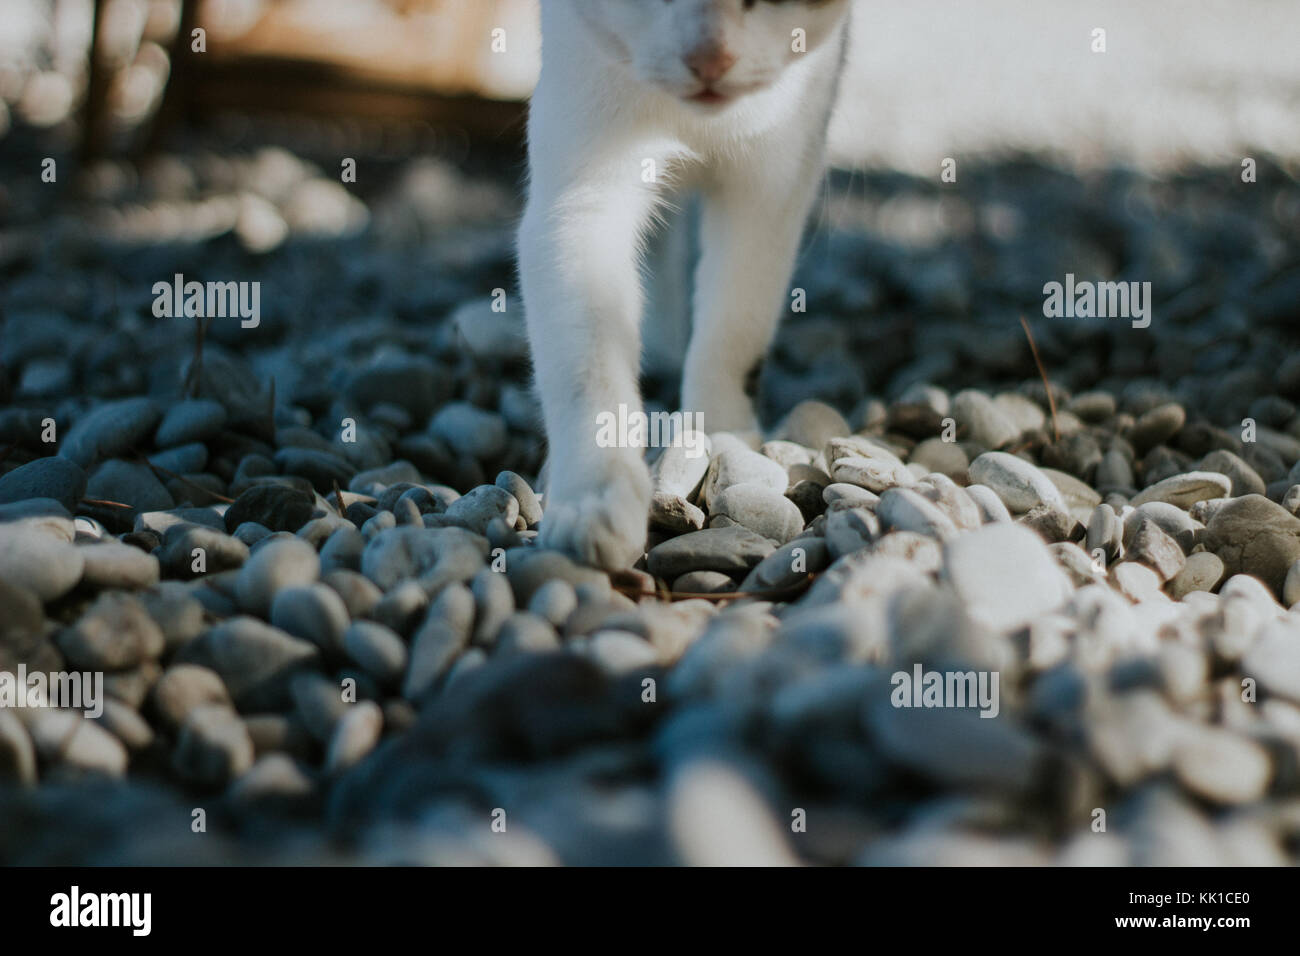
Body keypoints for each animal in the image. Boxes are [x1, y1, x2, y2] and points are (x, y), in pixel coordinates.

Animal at [517, 0, 852, 567]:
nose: (710, 57)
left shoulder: (775, 179)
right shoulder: (579, 193)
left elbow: (736, 323)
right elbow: (584, 360)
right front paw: (594, 494)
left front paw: (722, 432)